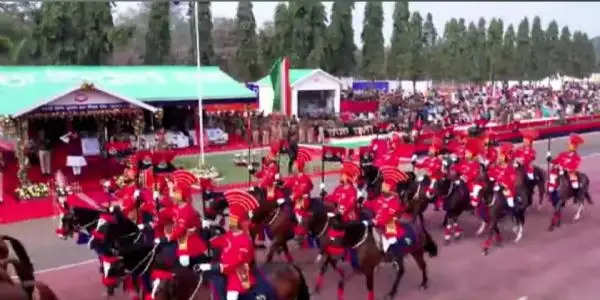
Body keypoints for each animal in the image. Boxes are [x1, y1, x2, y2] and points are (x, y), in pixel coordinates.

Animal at [294, 199, 438, 300]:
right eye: (298, 219)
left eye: (306, 219)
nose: (297, 238)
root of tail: (416, 226)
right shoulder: (357, 267)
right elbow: (339, 280)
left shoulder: (366, 269)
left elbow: (368, 287)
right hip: (400, 255)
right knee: (401, 271)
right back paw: (392, 291)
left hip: (416, 251)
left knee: (422, 266)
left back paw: (423, 283)